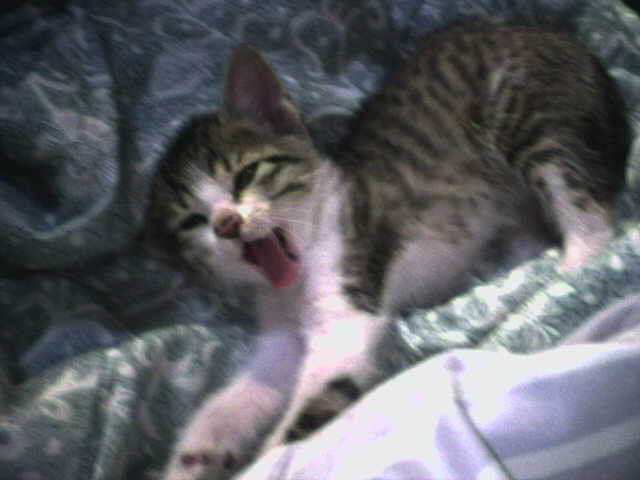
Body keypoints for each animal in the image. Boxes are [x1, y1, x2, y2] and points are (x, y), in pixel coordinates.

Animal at [146, 22, 629, 480]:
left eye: (245, 175)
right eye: (193, 221)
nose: (227, 224)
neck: (299, 270)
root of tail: (556, 36)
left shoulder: (347, 307)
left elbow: (304, 418)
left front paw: (267, 463)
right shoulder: (279, 335)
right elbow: (240, 395)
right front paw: (194, 457)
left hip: (530, 114)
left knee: (590, 213)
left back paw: (566, 276)